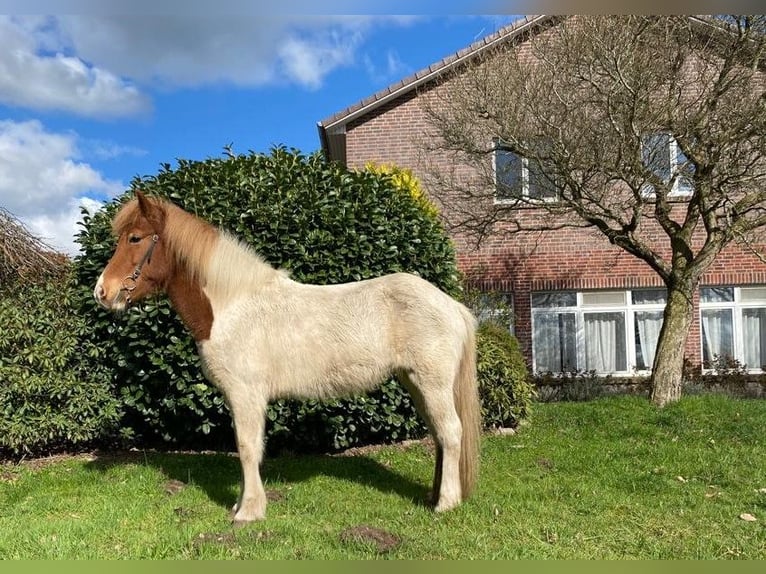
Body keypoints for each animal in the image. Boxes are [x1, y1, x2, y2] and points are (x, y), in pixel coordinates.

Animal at [94, 194, 480, 528]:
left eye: (135, 238)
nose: (102, 292)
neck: (232, 305)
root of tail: (451, 306)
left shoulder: (246, 395)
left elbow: (247, 448)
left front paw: (248, 511)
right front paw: (241, 504)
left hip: (432, 383)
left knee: (451, 432)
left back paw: (445, 503)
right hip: (415, 383)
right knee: (439, 435)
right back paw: (434, 495)